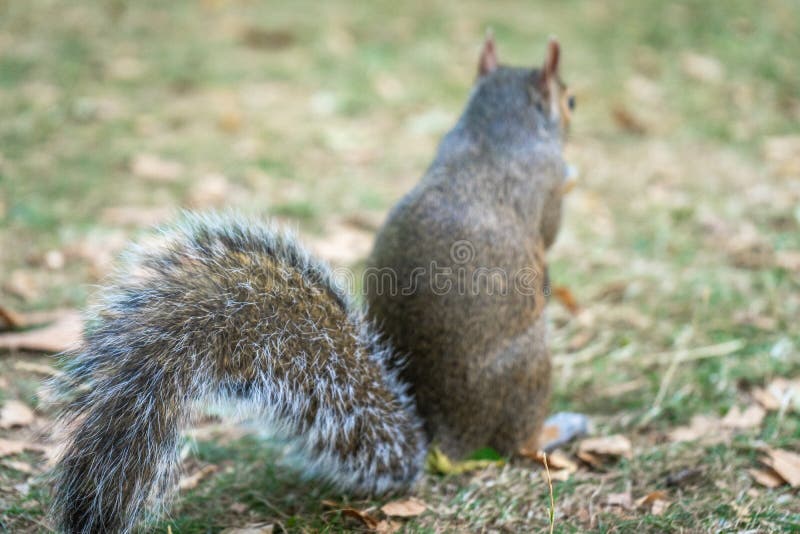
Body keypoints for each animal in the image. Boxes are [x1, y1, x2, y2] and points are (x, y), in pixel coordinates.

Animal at [51, 35, 576, 532]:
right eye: (570, 99)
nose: (575, 112)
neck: (494, 130)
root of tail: (444, 442)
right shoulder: (547, 187)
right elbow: (551, 228)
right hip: (532, 370)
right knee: (517, 443)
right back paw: (556, 431)